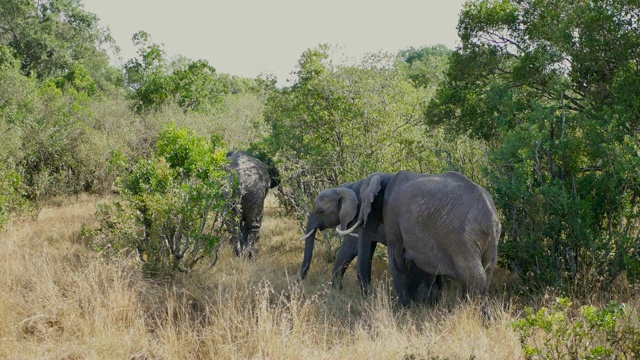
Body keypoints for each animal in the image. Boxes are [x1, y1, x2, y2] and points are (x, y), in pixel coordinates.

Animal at [298, 174, 440, 300]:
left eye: (320, 211)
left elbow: (350, 248)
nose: (300, 280)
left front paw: (342, 292)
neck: (343, 188)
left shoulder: (356, 218)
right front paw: (338, 292)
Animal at [342, 172, 498, 310]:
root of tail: (490, 218)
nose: (368, 297)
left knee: (476, 278)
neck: (387, 176)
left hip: (462, 239)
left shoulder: (391, 215)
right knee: (482, 275)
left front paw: (403, 309)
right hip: (485, 242)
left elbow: (396, 258)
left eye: (365, 203)